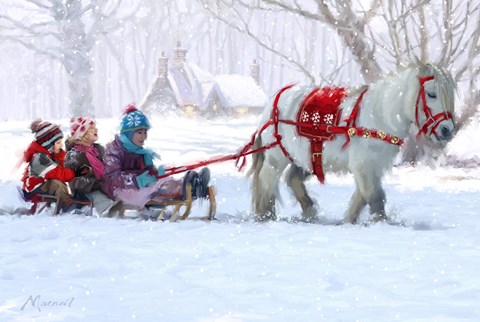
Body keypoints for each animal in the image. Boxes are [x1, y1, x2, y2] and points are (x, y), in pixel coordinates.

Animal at [249, 63, 456, 224]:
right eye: (431, 94)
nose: (447, 130)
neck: (378, 115)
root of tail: (276, 98)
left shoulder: (374, 166)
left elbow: (363, 197)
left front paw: (348, 221)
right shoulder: (363, 165)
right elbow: (374, 196)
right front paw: (381, 223)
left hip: (305, 157)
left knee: (293, 179)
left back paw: (309, 213)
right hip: (276, 156)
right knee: (267, 180)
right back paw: (264, 216)